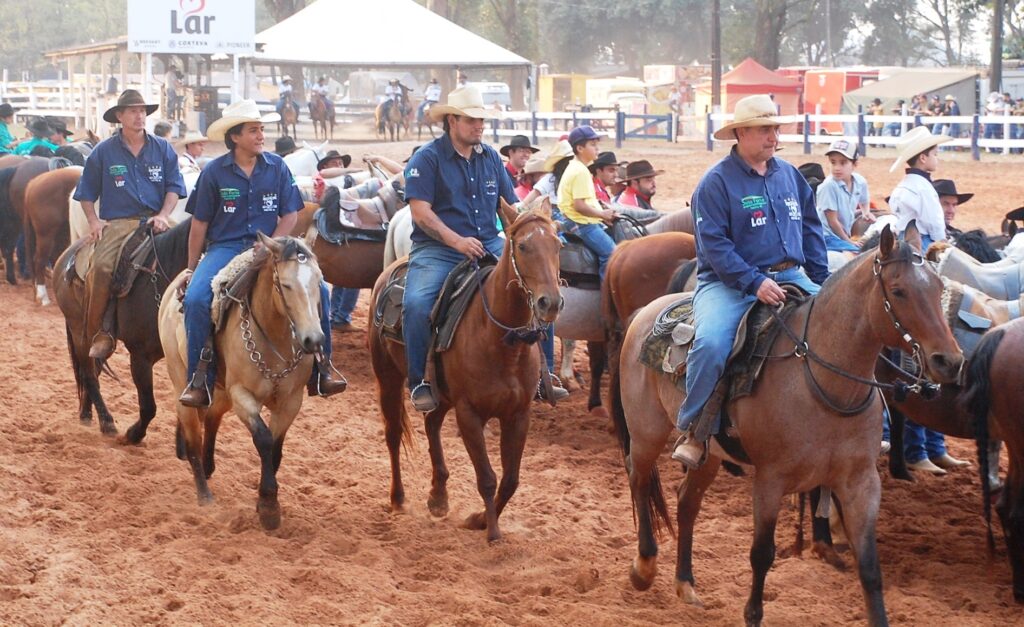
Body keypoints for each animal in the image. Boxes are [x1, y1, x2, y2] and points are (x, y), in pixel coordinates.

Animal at [22, 164, 80, 305]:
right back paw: (43, 297)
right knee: (39, 260)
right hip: (46, 234)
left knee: (56, 257)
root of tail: (32, 184)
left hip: (61, 231)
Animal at [51, 217, 192, 440]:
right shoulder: (140, 356)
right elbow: (148, 406)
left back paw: (86, 413)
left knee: (93, 370)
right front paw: (134, 434)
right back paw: (106, 421)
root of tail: (67, 255)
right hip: (80, 331)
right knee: (89, 375)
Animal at [157, 231, 325, 528]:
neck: (275, 338)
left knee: (212, 419)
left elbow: (276, 448)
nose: (313, 340)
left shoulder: (291, 402)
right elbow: (264, 439)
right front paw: (269, 506)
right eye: (285, 285)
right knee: (192, 436)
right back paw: (204, 492)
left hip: (219, 392)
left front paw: (264, 501)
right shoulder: (242, 395)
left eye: (318, 280)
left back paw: (209, 465)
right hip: (182, 384)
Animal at [368, 201, 561, 545]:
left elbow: (511, 479)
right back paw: (398, 499)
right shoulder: (469, 413)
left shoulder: (518, 414)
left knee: (431, 424)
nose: (549, 303)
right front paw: (492, 531)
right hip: (388, 378)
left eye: (558, 245)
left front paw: (479, 519)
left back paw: (438, 497)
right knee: (393, 435)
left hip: (441, 395)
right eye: (523, 246)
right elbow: (487, 477)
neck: (503, 343)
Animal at [610, 225, 962, 627]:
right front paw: (752, 614)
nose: (950, 361)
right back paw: (644, 567)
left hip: (709, 453)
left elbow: (870, 567)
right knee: (638, 478)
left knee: (687, 501)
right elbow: (762, 553)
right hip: (646, 431)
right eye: (900, 290)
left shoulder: (860, 481)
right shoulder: (771, 479)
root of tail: (645, 312)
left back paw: (685, 583)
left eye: (938, 286)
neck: (823, 383)